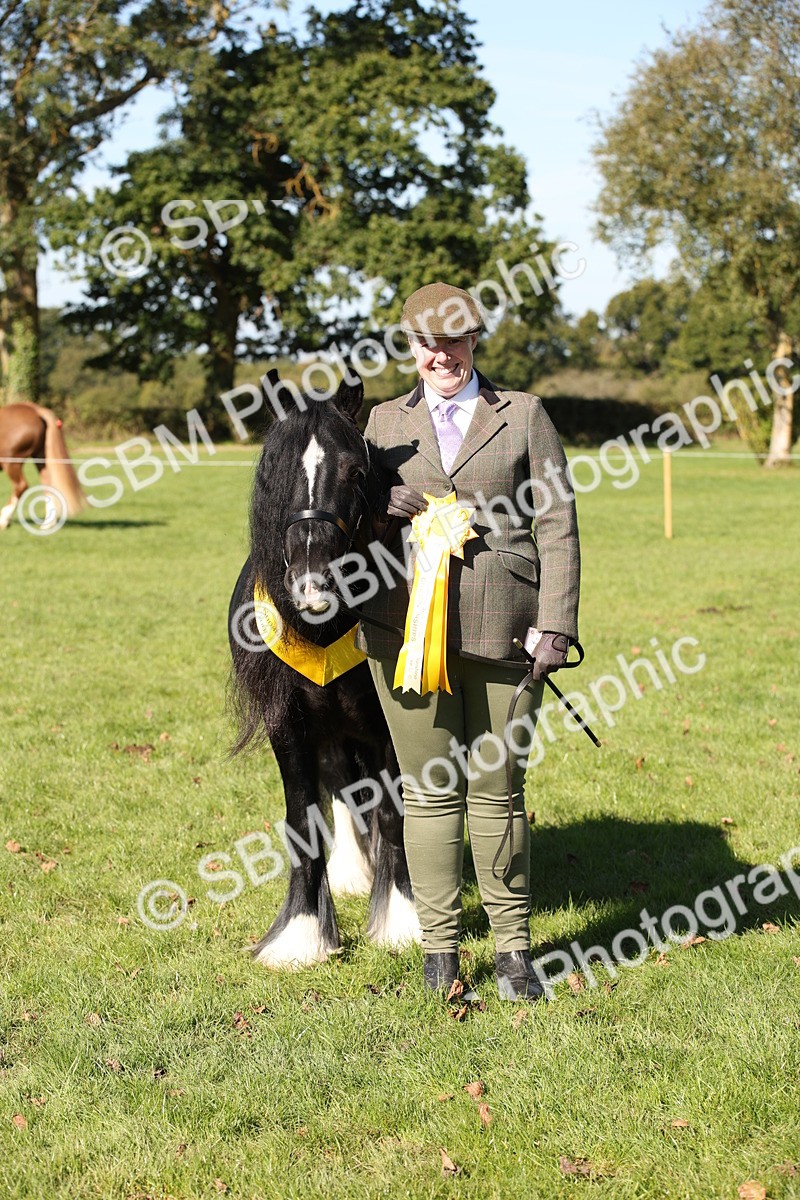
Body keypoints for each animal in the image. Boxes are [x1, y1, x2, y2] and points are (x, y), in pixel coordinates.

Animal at [227, 374, 421, 969]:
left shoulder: (389, 727)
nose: (312, 585)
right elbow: (302, 820)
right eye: (274, 470)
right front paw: (303, 933)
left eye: (356, 473)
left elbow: (393, 815)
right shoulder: (288, 729)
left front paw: (401, 922)